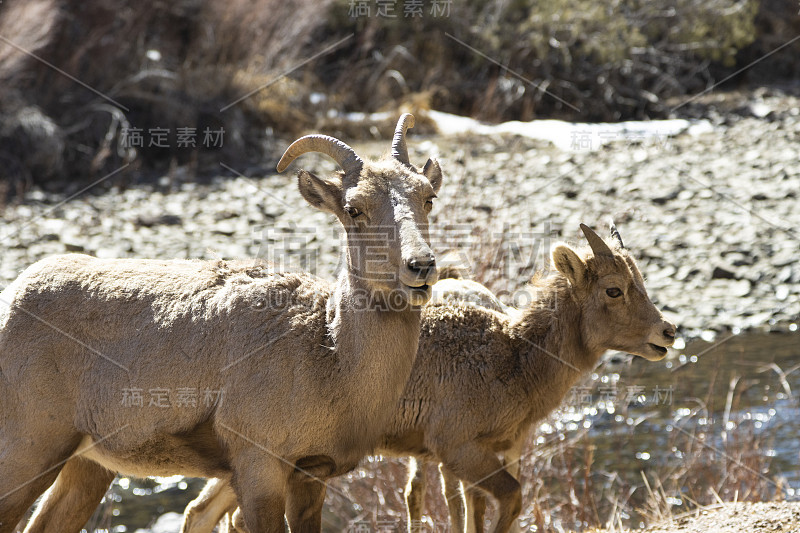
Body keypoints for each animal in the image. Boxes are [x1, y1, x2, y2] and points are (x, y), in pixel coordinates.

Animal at [0, 113, 444, 532]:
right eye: (353, 209)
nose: (421, 266)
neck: (331, 357)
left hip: (87, 464)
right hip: (29, 451)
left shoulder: (311, 477)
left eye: (428, 197)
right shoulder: (259, 469)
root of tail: (10, 301)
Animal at [180, 223, 676, 532]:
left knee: (203, 513)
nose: (667, 333)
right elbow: (508, 501)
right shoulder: (457, 447)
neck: (513, 358)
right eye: (613, 289)